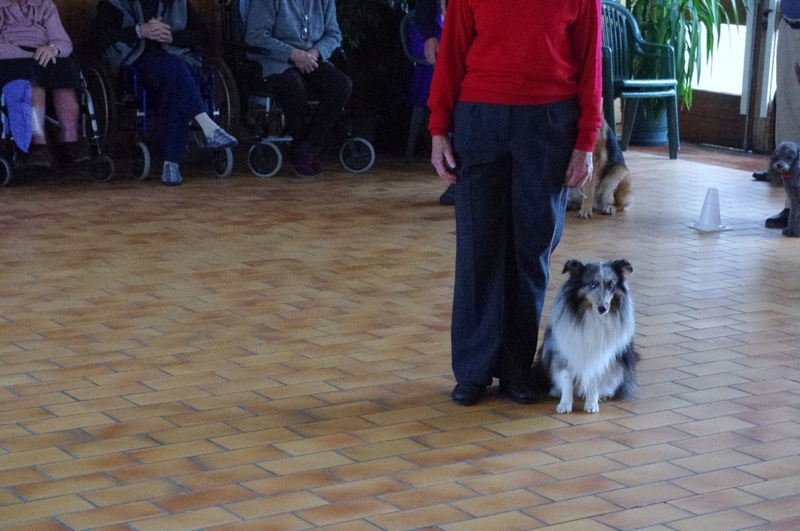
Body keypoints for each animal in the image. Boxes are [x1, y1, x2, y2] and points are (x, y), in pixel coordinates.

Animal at [536, 260, 640, 414]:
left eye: (611, 285)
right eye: (592, 285)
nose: (602, 308)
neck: (593, 316)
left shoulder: (602, 357)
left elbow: (595, 378)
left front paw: (591, 404)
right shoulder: (564, 351)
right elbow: (566, 378)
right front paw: (564, 404)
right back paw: (556, 390)